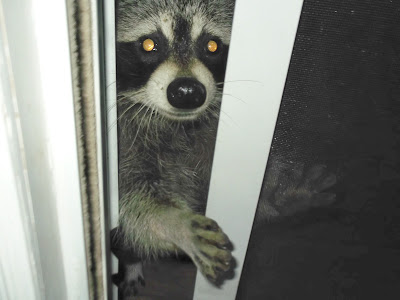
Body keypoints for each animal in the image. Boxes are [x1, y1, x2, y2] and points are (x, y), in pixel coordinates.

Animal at [114, 0, 336, 292]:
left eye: (212, 46)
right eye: (149, 44)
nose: (187, 92)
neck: (178, 125)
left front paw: (283, 191)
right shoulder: (126, 144)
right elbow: (131, 207)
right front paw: (172, 222)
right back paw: (131, 262)